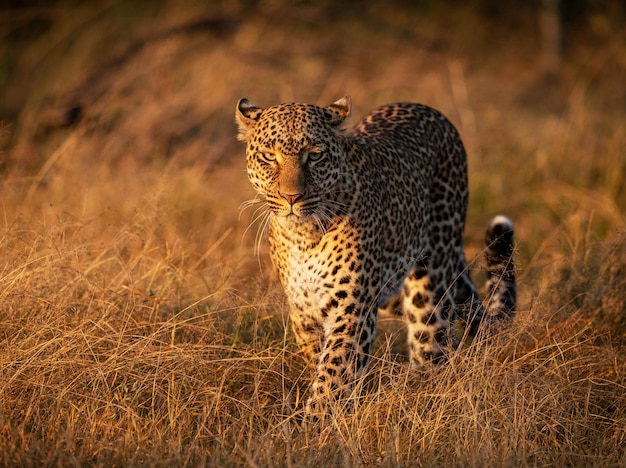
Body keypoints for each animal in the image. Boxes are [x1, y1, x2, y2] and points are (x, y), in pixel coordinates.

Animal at [235, 96, 516, 416]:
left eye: (315, 155)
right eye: (269, 156)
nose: (291, 197)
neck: (303, 235)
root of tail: (427, 109)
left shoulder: (352, 309)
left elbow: (333, 373)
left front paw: (316, 422)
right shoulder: (304, 311)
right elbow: (321, 362)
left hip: (431, 279)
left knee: (432, 345)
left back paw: (420, 395)